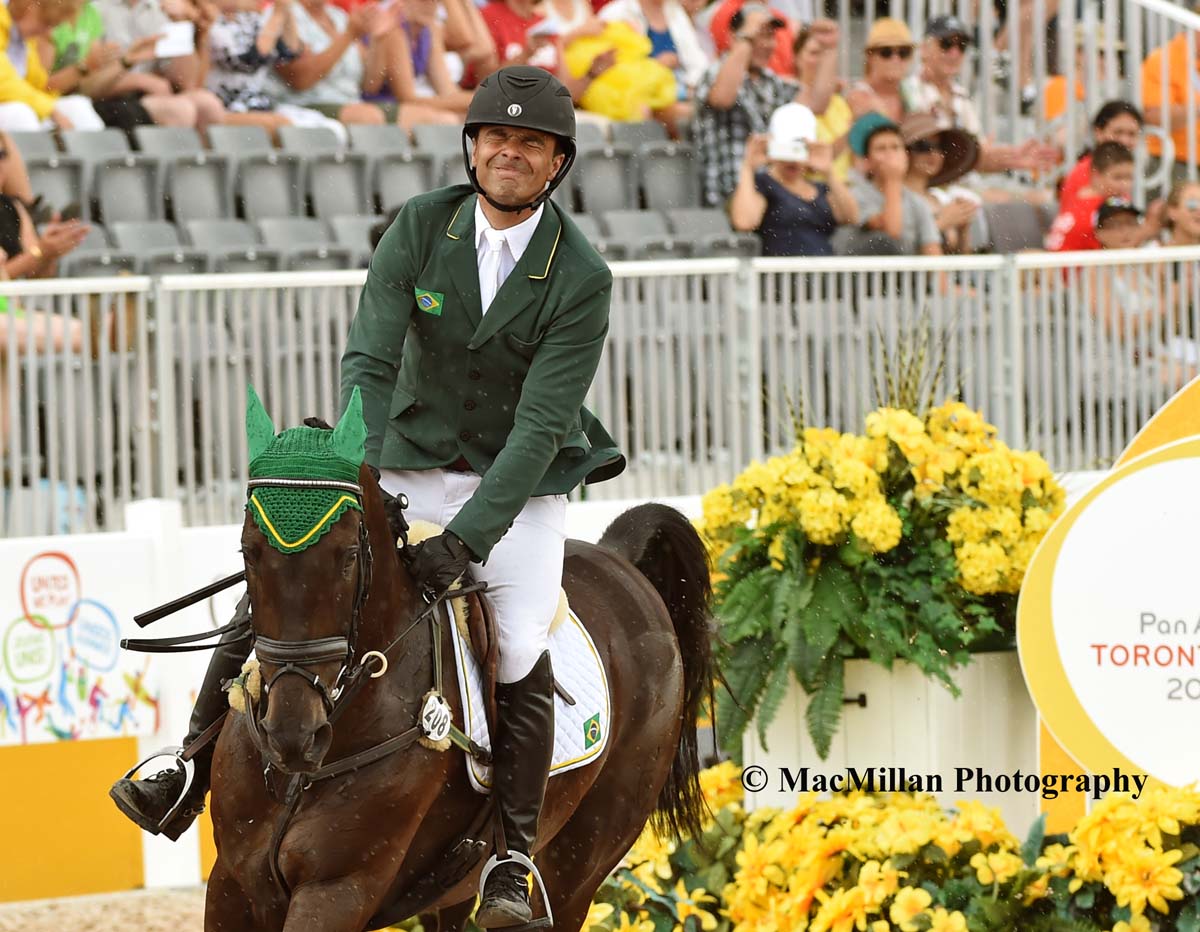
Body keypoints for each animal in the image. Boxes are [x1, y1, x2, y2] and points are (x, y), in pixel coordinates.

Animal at [202, 424, 715, 930]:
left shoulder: (338, 890)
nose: (292, 734)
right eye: (248, 553)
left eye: (348, 556)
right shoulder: (229, 884)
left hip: (581, 862)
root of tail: (618, 560)